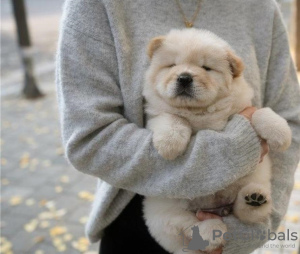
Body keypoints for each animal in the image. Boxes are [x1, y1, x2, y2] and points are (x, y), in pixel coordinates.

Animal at [142, 28, 290, 254]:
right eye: (172, 65)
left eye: (206, 68)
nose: (184, 77)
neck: (198, 112)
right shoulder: (156, 114)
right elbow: (173, 118)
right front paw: (169, 145)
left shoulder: (243, 108)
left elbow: (260, 112)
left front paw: (281, 132)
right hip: (163, 208)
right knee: (188, 225)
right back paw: (211, 230)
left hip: (252, 179)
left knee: (244, 213)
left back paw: (254, 199)